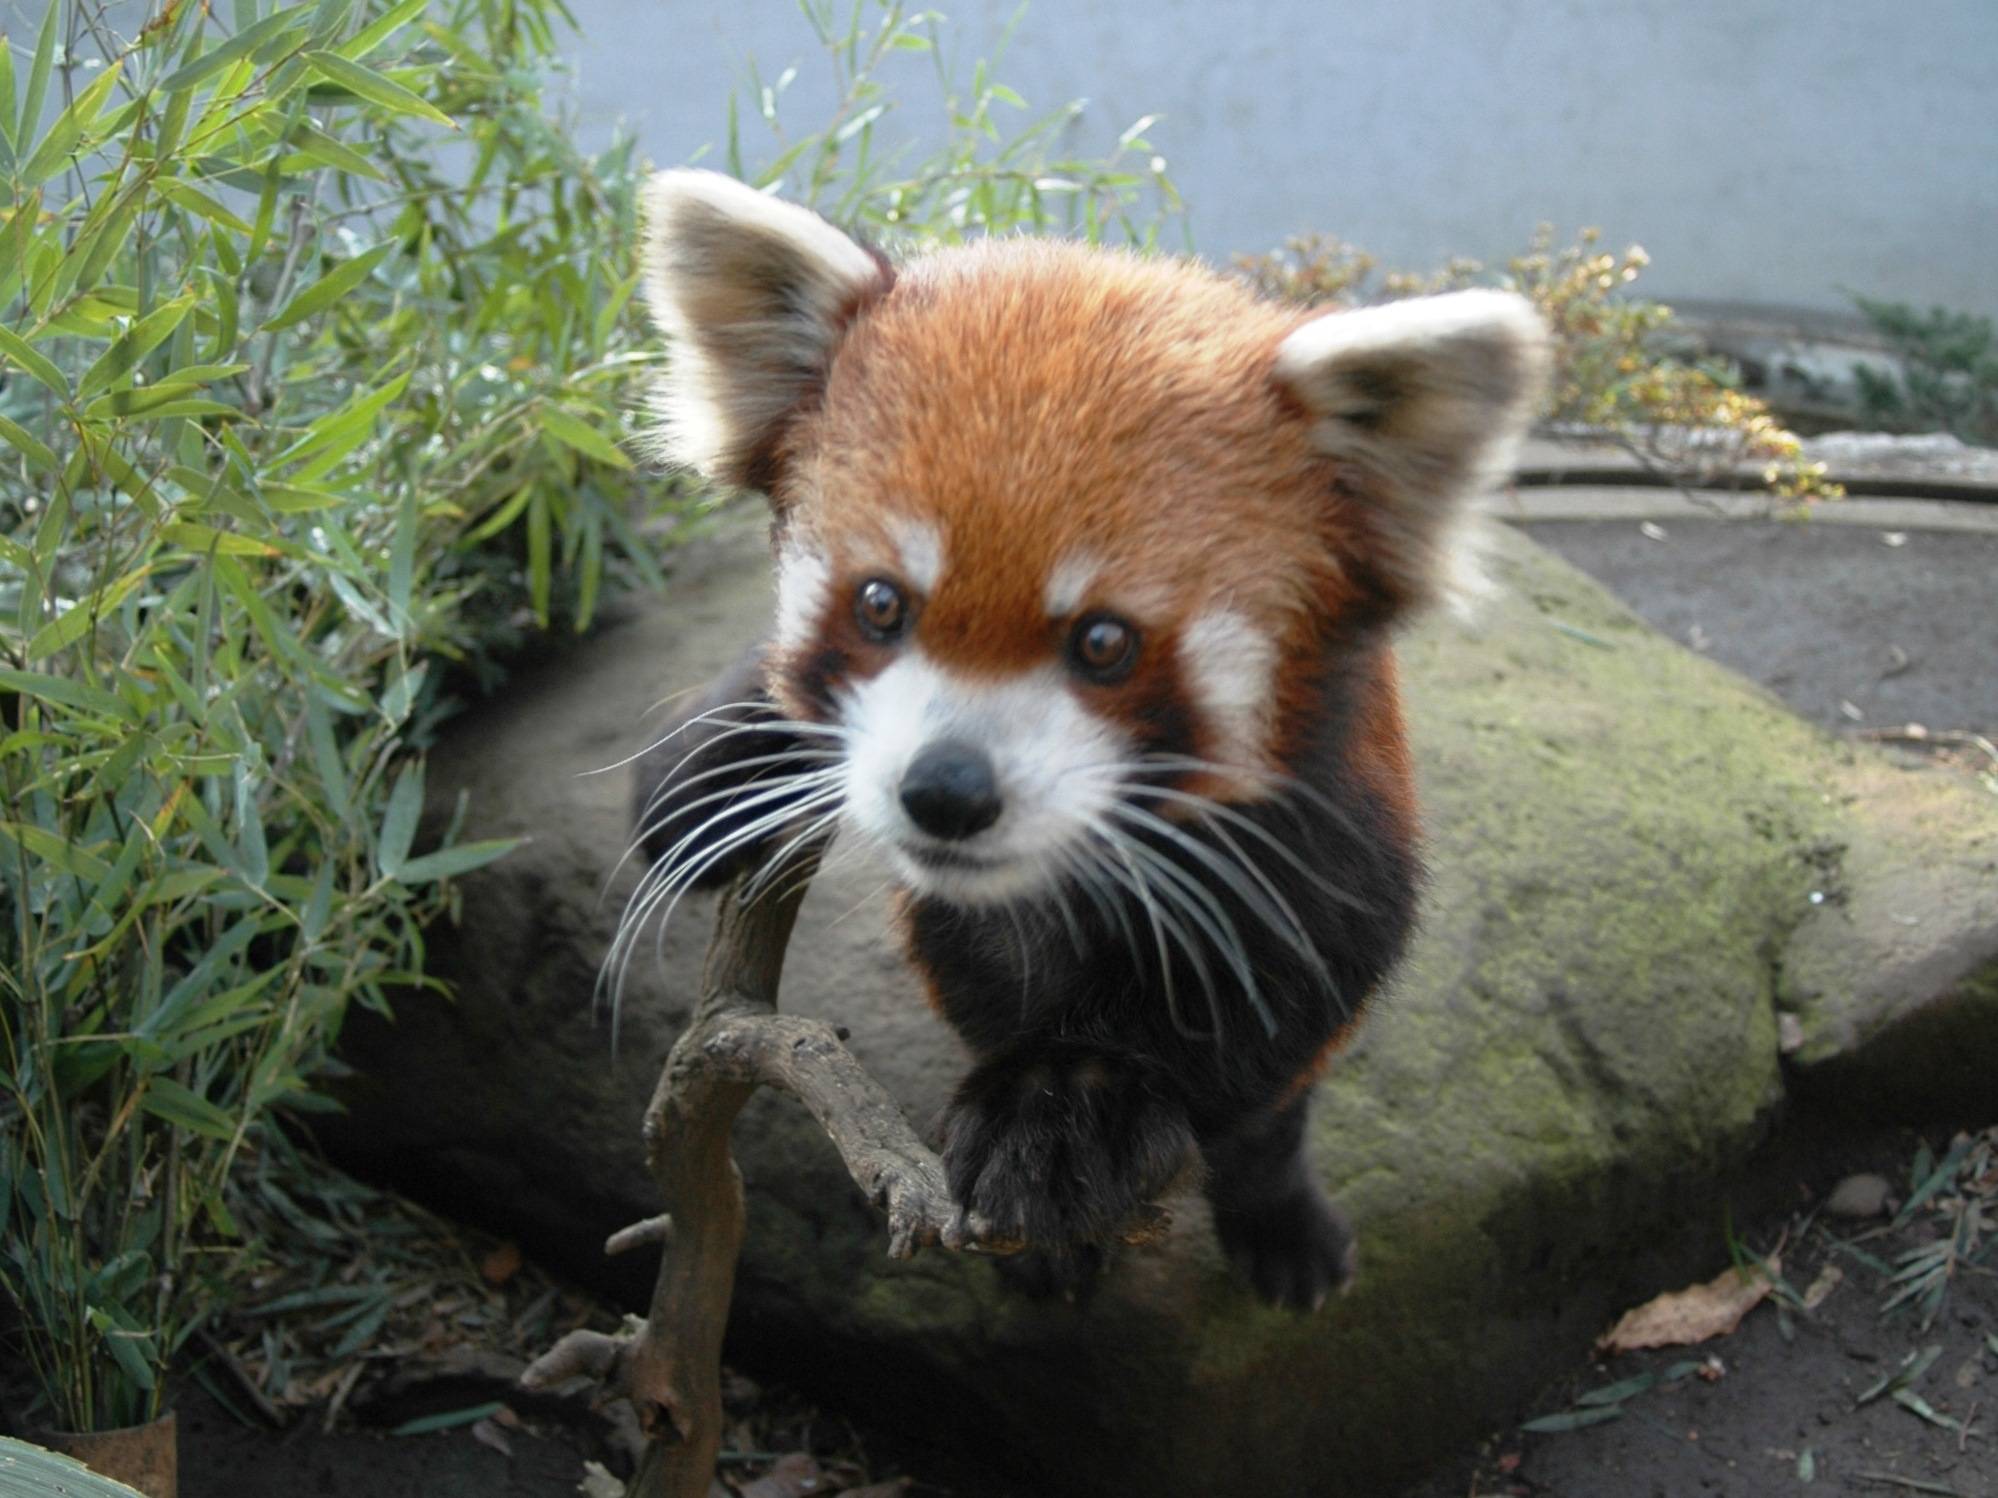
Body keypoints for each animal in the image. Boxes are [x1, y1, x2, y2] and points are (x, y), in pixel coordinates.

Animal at [623, 166, 1542, 1310]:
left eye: (1104, 641)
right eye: (881, 604)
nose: (947, 790)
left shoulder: (1327, 816)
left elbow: (1283, 991)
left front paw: (1072, 1103)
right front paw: (710, 779)